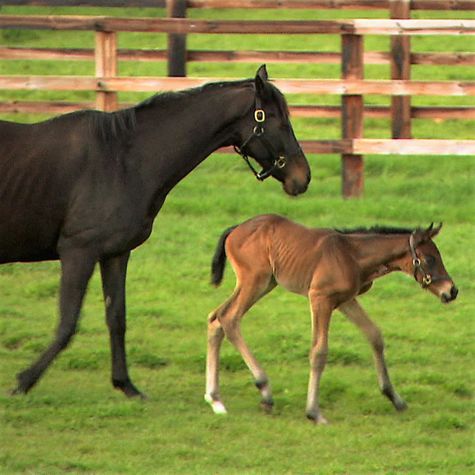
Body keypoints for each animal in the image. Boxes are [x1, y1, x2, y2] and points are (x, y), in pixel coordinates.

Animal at [0, 64, 312, 398]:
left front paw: (125, 384)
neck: (122, 160)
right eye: (277, 119)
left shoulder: (115, 254)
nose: (303, 177)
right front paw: (25, 380)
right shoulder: (78, 253)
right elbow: (67, 322)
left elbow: (117, 317)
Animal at [206, 214, 460, 422]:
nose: (452, 290)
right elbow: (319, 352)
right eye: (429, 259)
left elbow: (375, 335)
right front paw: (314, 412)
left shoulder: (346, 300)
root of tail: (236, 229)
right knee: (228, 318)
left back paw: (215, 398)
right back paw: (264, 391)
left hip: (266, 282)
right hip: (255, 280)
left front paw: (394, 397)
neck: (353, 255)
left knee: (215, 319)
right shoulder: (320, 299)